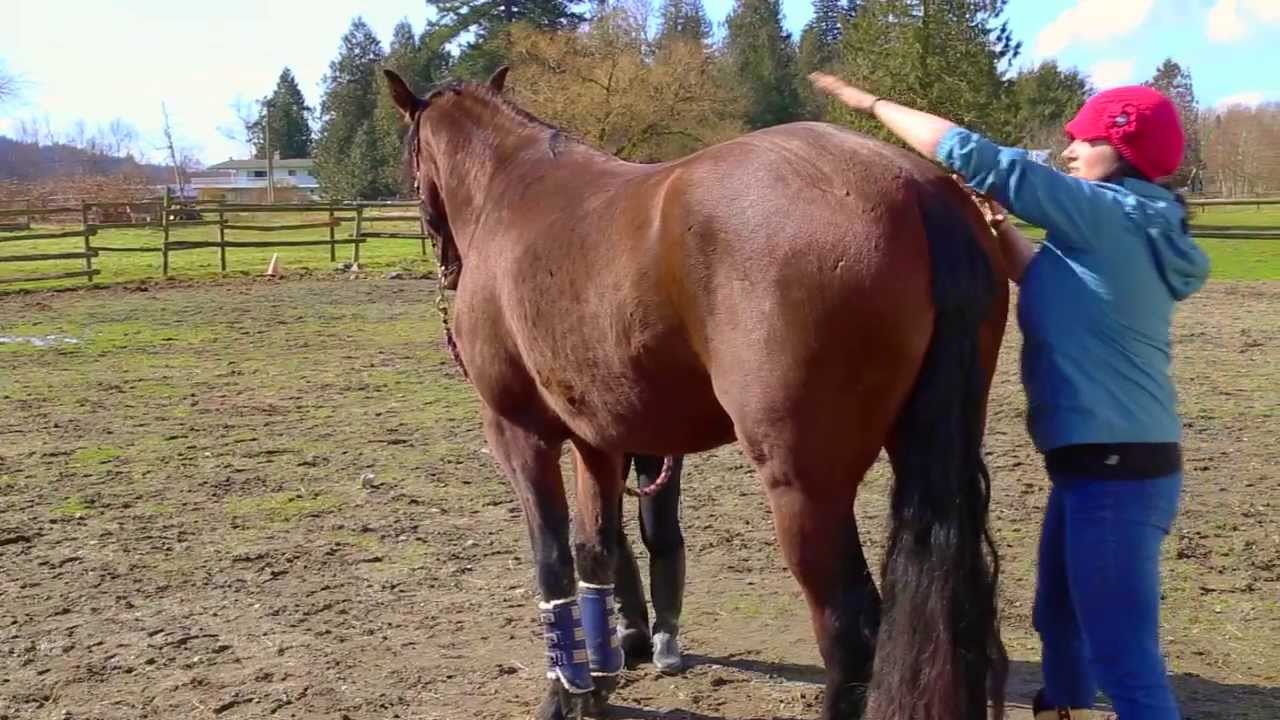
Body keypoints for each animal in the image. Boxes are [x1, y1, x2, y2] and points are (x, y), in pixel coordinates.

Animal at [383, 66, 1011, 720]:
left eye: (411, 159)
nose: (447, 264)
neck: (512, 191)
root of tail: (913, 186)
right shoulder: (597, 441)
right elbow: (595, 551)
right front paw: (598, 683)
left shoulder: (519, 434)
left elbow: (552, 563)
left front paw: (565, 694)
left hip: (804, 488)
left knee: (850, 631)